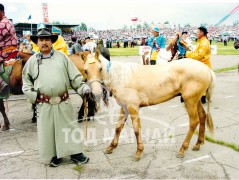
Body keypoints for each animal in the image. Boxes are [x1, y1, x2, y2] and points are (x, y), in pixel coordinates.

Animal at [83, 50, 216, 159]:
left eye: (100, 68)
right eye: (85, 70)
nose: (96, 92)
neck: (122, 78)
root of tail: (206, 69)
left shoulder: (133, 107)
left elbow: (136, 129)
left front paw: (139, 151)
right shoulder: (124, 108)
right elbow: (118, 127)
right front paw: (111, 147)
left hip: (190, 101)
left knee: (194, 122)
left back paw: (183, 149)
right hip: (195, 100)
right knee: (202, 116)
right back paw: (198, 143)